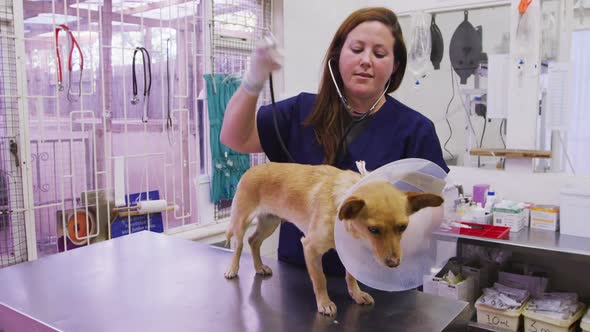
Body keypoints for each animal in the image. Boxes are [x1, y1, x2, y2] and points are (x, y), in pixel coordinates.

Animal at [225, 162, 444, 316]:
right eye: (373, 229)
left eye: (403, 227)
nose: (394, 263)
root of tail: (251, 169)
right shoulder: (310, 248)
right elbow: (320, 279)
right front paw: (324, 303)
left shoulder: (348, 252)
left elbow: (351, 275)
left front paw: (356, 294)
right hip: (242, 221)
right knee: (239, 244)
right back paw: (232, 269)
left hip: (269, 222)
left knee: (253, 241)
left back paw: (259, 267)